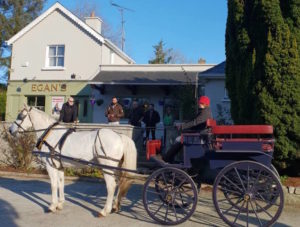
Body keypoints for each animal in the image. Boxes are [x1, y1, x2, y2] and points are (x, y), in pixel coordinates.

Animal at [8, 104, 137, 216]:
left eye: (20, 116)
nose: (10, 130)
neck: (51, 135)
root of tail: (120, 136)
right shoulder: (59, 166)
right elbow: (60, 183)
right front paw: (60, 204)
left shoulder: (50, 166)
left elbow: (54, 185)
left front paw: (52, 206)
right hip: (116, 167)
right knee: (120, 183)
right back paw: (115, 206)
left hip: (107, 167)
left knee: (111, 186)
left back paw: (105, 211)